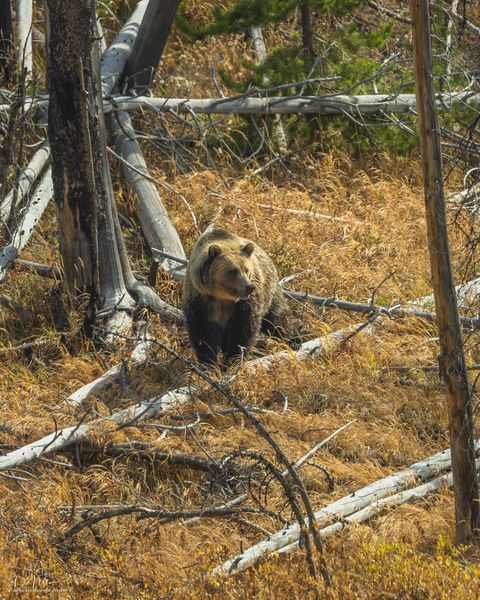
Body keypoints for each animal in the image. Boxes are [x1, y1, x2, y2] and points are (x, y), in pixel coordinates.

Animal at [184, 229, 292, 366]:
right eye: (232, 271)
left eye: (246, 269)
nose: (250, 287)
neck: (222, 296)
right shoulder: (201, 300)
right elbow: (203, 334)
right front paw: (209, 362)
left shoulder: (244, 305)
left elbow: (243, 331)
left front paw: (232, 361)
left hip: (269, 291)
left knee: (277, 318)